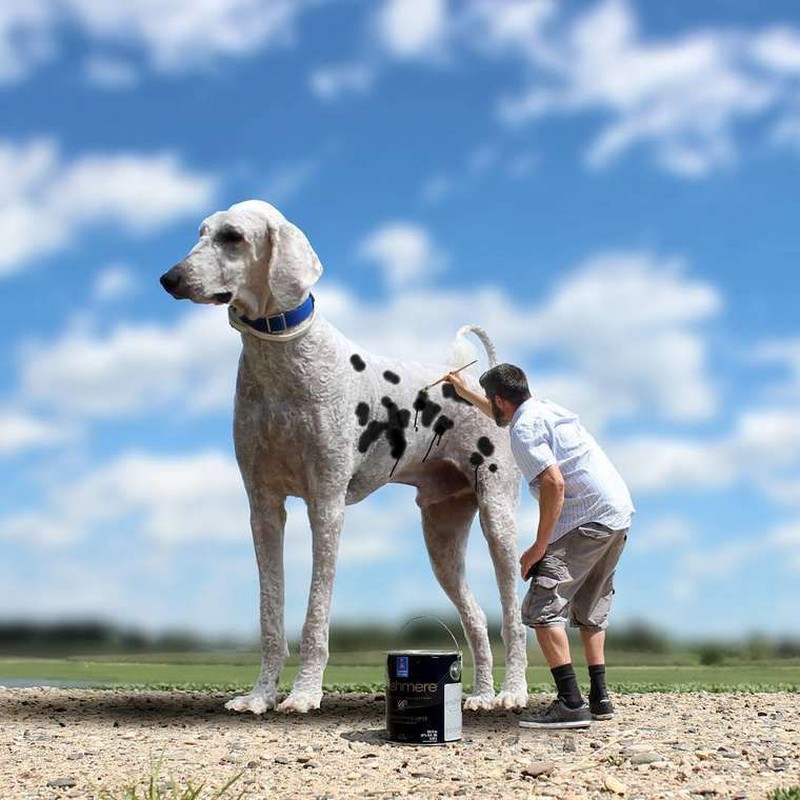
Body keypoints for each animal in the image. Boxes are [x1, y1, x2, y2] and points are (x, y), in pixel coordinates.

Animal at [159, 200, 528, 712]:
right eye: (201, 232)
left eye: (232, 237)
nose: (169, 278)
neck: (284, 361)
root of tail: (476, 383)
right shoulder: (263, 510)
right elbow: (270, 614)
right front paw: (259, 696)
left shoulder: (326, 506)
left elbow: (316, 616)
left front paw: (303, 694)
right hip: (442, 540)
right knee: (475, 621)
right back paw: (480, 695)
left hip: (499, 522)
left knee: (513, 618)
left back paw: (513, 693)